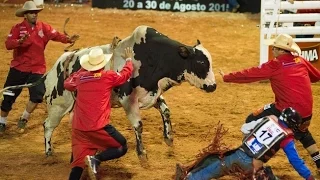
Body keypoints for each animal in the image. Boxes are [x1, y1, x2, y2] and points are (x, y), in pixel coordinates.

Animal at [42, 25, 215, 160]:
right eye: (200, 62)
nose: (213, 86)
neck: (153, 57)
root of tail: (61, 60)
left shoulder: (151, 94)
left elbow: (165, 110)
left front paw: (169, 138)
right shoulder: (128, 100)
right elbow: (138, 125)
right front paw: (142, 153)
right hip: (58, 104)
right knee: (48, 125)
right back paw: (49, 153)